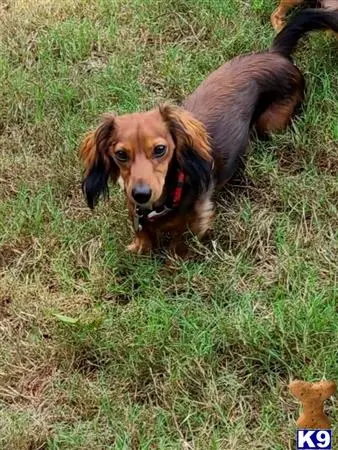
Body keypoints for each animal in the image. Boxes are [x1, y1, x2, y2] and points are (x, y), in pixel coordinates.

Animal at [80, 10, 338, 255]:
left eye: (160, 149)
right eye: (121, 155)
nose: (140, 194)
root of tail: (276, 53)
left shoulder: (195, 221)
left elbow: (180, 244)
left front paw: (175, 261)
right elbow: (143, 235)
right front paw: (140, 246)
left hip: (270, 125)